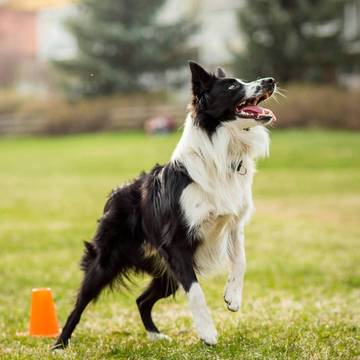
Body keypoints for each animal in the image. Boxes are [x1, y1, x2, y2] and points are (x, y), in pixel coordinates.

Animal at [53, 61, 278, 348]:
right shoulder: (177, 243)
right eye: (231, 86)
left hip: (167, 273)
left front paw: (233, 297)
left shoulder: (233, 225)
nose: (270, 80)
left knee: (141, 300)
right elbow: (196, 293)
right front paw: (208, 333)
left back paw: (155, 335)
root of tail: (118, 191)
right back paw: (60, 343)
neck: (221, 155)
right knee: (79, 304)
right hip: (107, 262)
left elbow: (241, 261)